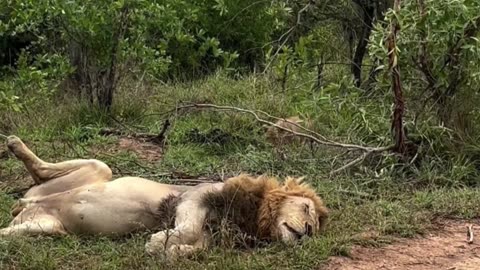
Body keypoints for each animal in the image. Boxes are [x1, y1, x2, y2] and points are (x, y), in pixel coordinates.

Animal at [1, 136, 328, 258]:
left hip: (46, 228)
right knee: (48, 168)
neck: (254, 218)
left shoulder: (210, 238)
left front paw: (171, 250)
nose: (308, 231)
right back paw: (14, 144)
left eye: (315, 227)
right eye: (306, 209)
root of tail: (28, 205)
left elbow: (193, 247)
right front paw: (158, 241)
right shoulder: (195, 197)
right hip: (100, 169)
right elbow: (187, 227)